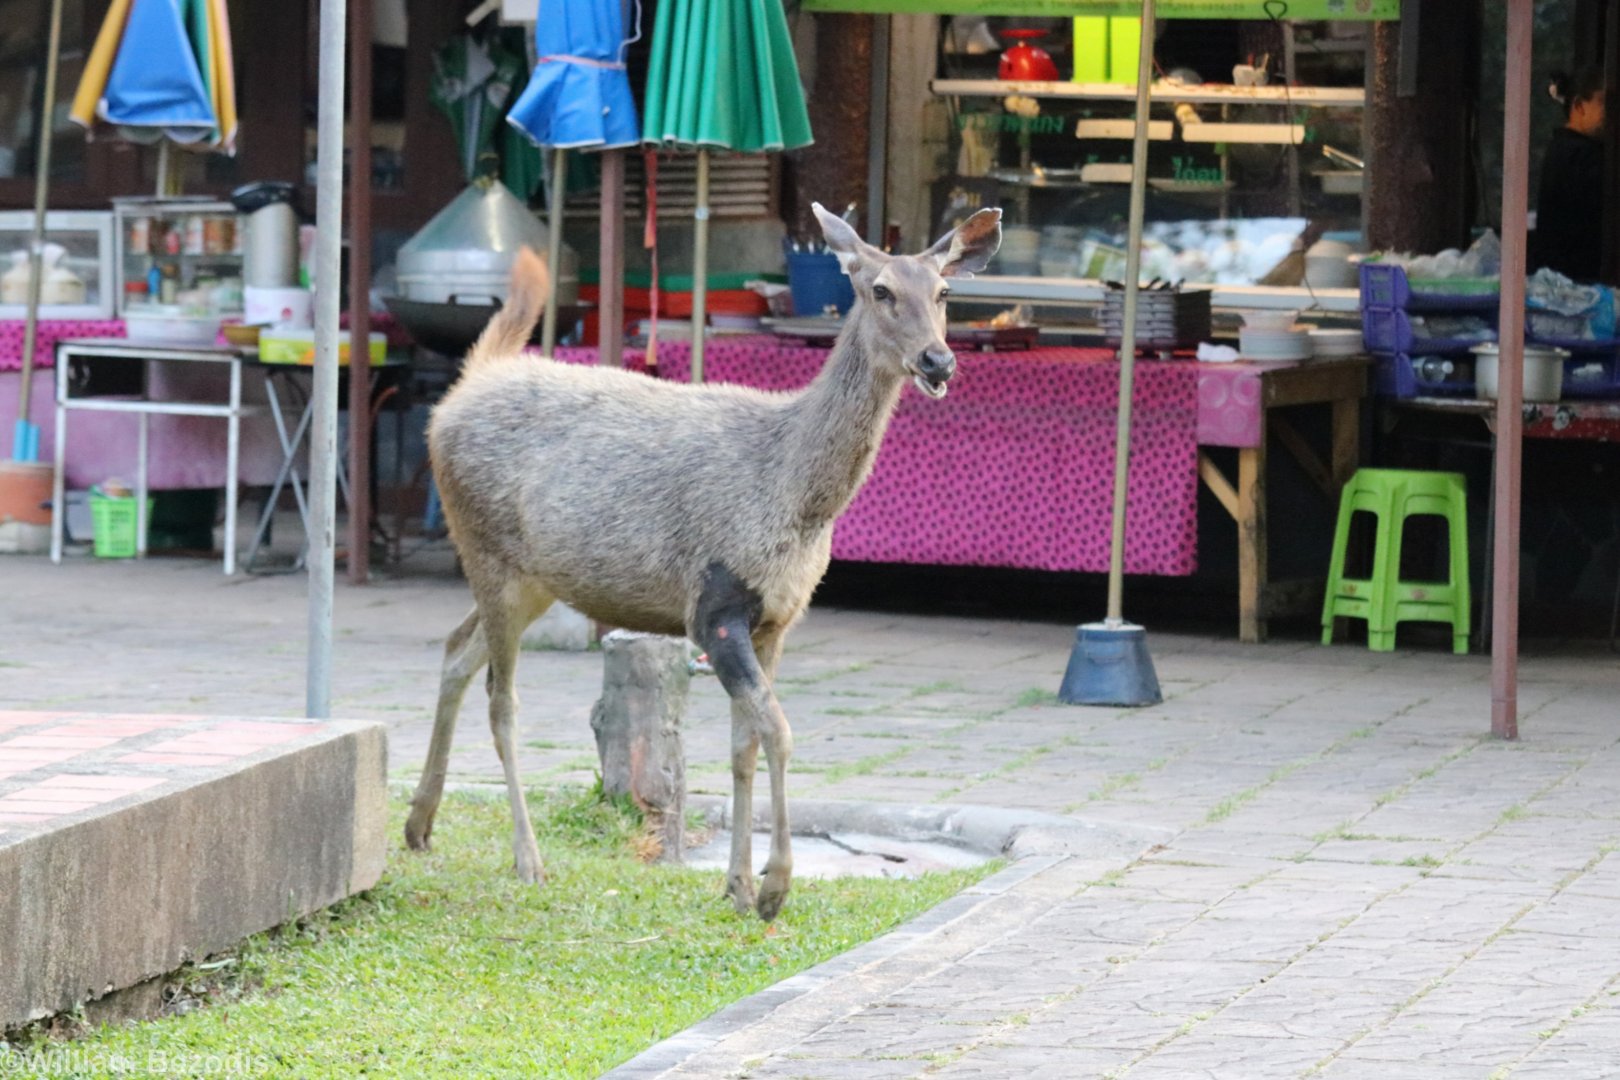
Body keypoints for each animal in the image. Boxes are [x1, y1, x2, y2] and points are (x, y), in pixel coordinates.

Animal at [403, 202, 1002, 921]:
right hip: (486, 548)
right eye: (880, 289)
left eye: (943, 292)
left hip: (534, 577)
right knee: (502, 698)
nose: (938, 360)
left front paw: (737, 885)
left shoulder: (777, 620)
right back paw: (528, 859)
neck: (797, 498)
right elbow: (777, 731)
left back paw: (420, 823)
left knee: (456, 651)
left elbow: (743, 744)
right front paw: (774, 885)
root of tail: (460, 391)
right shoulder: (714, 606)